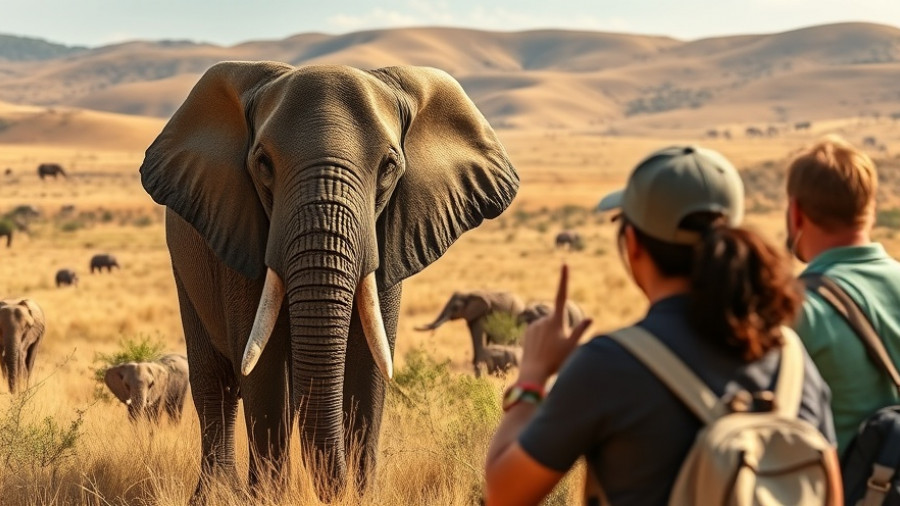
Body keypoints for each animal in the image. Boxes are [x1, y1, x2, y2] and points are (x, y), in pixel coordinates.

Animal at [139, 61, 518, 500]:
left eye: (389, 167)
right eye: (263, 164)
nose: (340, 488)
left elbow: (370, 362)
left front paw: (363, 497)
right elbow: (263, 367)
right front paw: (269, 499)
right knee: (216, 383)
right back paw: (217, 494)